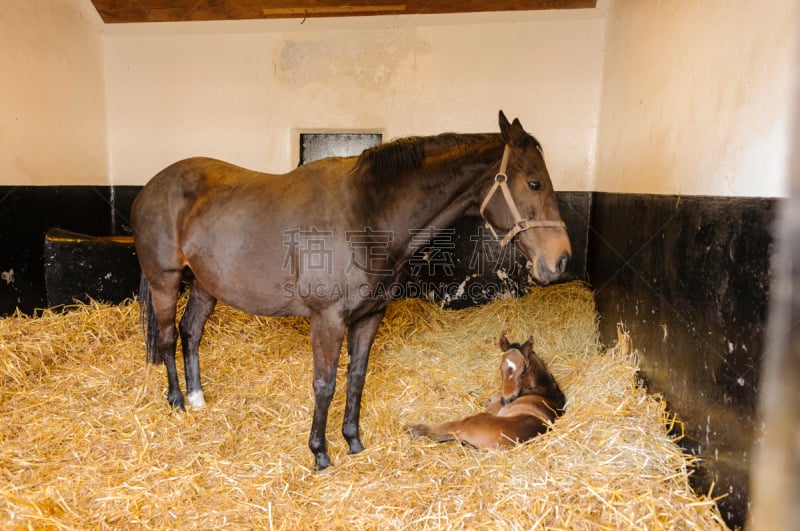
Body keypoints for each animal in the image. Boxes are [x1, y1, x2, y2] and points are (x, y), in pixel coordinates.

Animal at [410, 334, 564, 446]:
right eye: (500, 368)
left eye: (522, 372)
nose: (506, 400)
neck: (542, 390)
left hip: (470, 421)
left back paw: (414, 428)